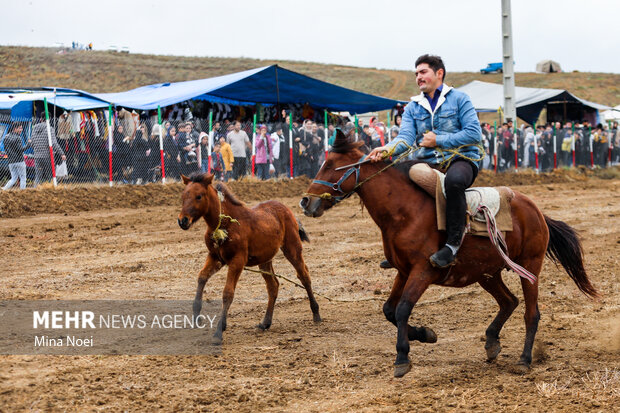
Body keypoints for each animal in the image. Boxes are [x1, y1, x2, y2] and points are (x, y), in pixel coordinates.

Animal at [178, 172, 320, 342]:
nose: (182, 220)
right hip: (265, 260)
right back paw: (265, 322)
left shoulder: (237, 260)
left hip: (292, 249)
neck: (225, 223)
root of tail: (287, 210)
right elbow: (202, 277)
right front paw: (195, 317)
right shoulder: (215, 257)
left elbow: (228, 293)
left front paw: (219, 331)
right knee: (273, 285)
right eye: (183, 196)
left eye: (199, 196)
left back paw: (316, 313)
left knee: (304, 275)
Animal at [298, 129, 600, 376]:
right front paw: (425, 334)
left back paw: (524, 359)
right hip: (486, 273)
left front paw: (402, 357)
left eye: (330, 165)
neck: (404, 211)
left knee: (531, 313)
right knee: (509, 302)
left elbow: (403, 309)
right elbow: (389, 310)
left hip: (529, 266)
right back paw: (492, 342)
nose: (305, 201)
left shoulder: (423, 271)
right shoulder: (403, 271)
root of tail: (535, 210)